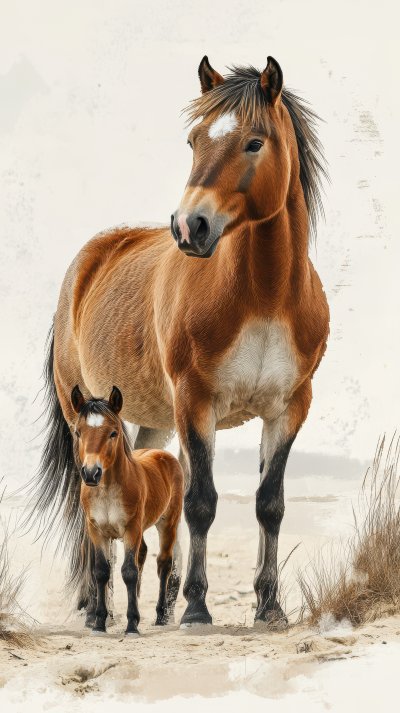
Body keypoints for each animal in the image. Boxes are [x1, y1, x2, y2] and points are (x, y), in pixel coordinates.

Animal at [71, 384, 183, 635]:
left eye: (113, 433)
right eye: (78, 432)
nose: (91, 473)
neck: (106, 491)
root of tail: (163, 454)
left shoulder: (131, 529)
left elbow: (128, 572)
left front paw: (132, 625)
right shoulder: (96, 531)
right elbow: (102, 571)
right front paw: (99, 623)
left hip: (168, 523)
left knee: (163, 563)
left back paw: (161, 615)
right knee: (143, 556)